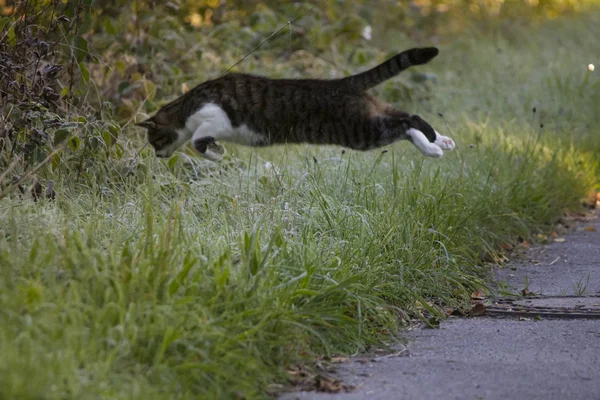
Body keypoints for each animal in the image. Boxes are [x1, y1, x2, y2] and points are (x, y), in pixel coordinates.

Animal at [137, 47, 454, 159]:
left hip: (360, 131)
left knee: (408, 121)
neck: (185, 109)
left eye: (154, 141)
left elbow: (196, 142)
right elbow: (202, 143)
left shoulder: (215, 118)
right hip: (369, 118)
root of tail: (342, 83)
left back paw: (433, 147)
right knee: (403, 117)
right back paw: (440, 141)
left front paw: (214, 153)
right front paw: (217, 150)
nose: (158, 156)